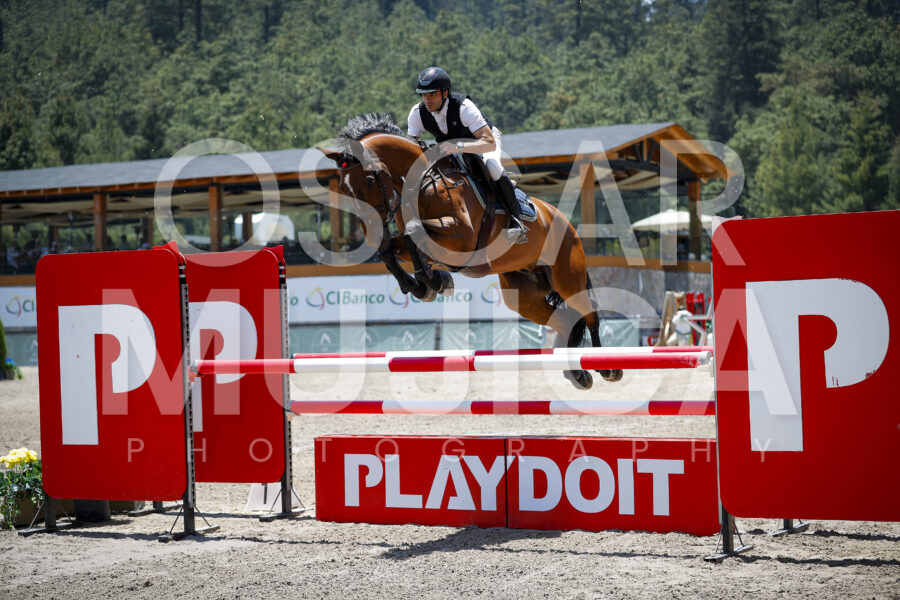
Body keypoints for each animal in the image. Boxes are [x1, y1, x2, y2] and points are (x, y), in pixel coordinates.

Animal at [319, 112, 622, 389]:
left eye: (370, 181)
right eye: (344, 188)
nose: (370, 228)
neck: (422, 182)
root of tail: (565, 222)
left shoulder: (462, 237)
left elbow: (412, 231)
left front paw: (432, 281)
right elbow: (393, 249)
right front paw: (428, 284)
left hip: (567, 277)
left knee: (589, 314)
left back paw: (607, 369)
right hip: (523, 296)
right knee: (564, 319)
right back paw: (578, 374)